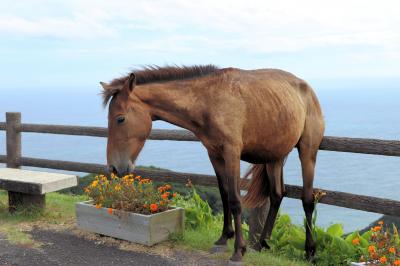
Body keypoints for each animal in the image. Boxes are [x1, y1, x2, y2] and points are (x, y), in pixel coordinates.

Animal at [101, 65, 324, 262]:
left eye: (120, 119)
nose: (114, 167)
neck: (208, 102)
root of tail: (308, 90)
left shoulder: (232, 153)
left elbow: (235, 200)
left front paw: (238, 250)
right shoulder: (215, 155)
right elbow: (224, 195)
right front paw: (224, 238)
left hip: (308, 152)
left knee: (307, 199)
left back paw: (310, 251)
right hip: (274, 157)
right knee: (277, 195)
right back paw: (261, 244)